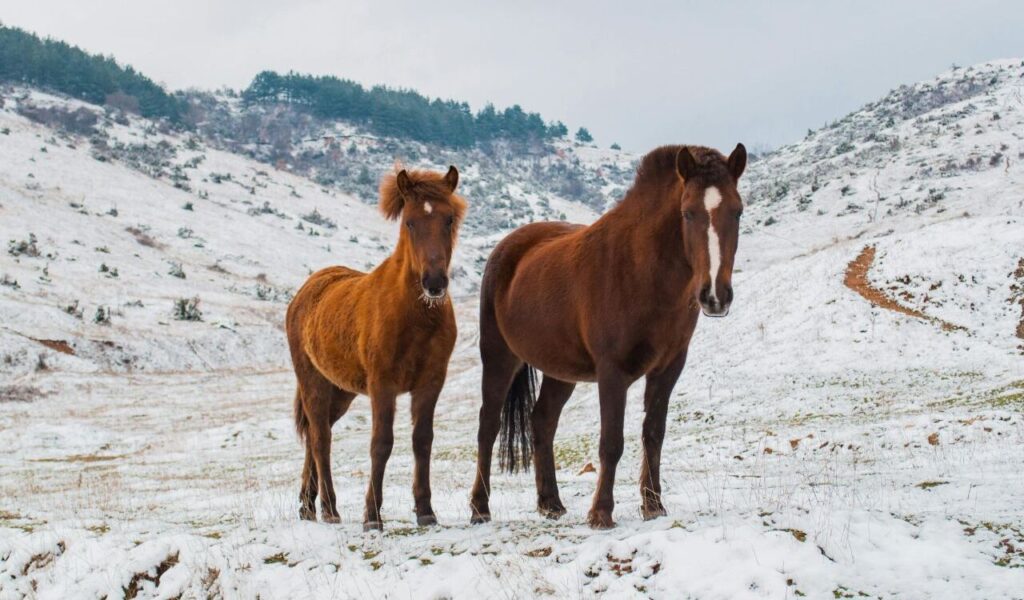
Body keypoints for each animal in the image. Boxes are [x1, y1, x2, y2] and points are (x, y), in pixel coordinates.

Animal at [286, 165, 466, 531]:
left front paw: (425, 511)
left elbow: (422, 440)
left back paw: (308, 506)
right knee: (321, 440)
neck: (414, 317)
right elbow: (381, 443)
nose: (434, 283)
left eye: (449, 219)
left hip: (341, 391)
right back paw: (329, 509)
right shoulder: (383, 385)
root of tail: (306, 291)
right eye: (409, 222)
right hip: (314, 384)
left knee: (314, 435)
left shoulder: (430, 383)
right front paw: (372, 516)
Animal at [469, 144, 746, 528]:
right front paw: (601, 512)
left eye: (738, 211)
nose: (715, 296)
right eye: (688, 213)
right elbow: (611, 441)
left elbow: (653, 433)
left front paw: (653, 505)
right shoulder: (612, 372)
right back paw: (480, 508)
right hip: (499, 357)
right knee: (488, 426)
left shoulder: (668, 368)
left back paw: (550, 503)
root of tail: (506, 249)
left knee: (543, 421)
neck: (642, 270)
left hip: (560, 371)